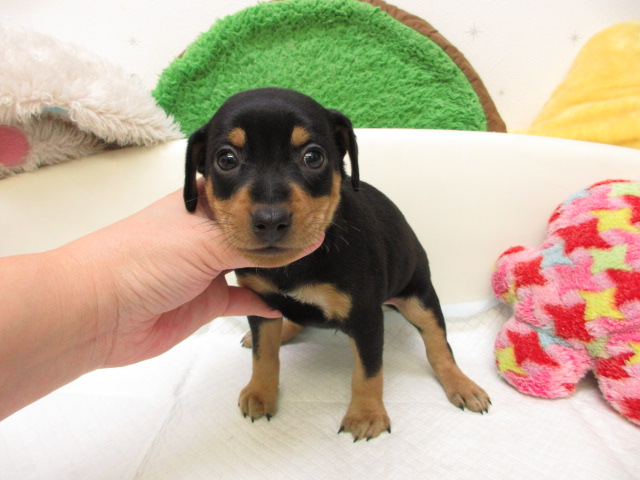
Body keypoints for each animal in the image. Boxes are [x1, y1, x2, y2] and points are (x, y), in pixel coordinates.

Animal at [184, 88, 490, 441]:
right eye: (226, 159)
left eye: (313, 157)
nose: (271, 220)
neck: (294, 265)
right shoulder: (261, 306)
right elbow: (264, 354)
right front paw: (261, 393)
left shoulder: (367, 316)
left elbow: (368, 371)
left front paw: (366, 415)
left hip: (419, 299)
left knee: (439, 345)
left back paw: (462, 385)